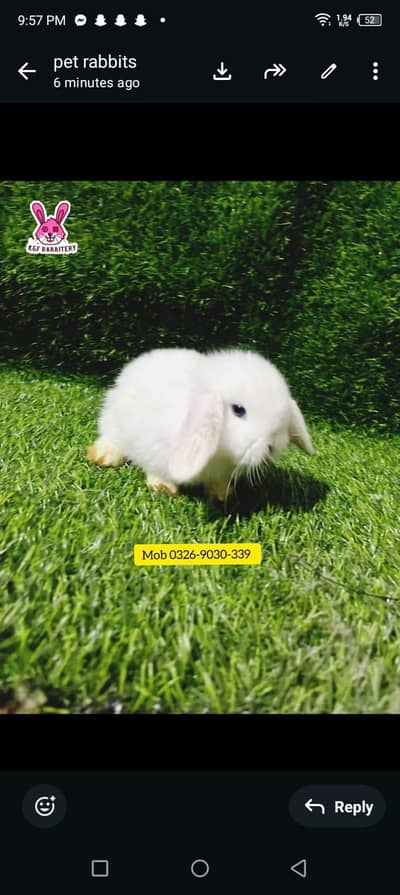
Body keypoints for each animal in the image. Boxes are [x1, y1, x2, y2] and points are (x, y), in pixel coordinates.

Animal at [87, 348, 315, 500]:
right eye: (238, 410)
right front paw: (163, 488)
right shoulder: (154, 447)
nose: (272, 447)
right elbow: (157, 470)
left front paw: (222, 494)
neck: (220, 453)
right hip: (113, 420)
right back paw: (103, 456)